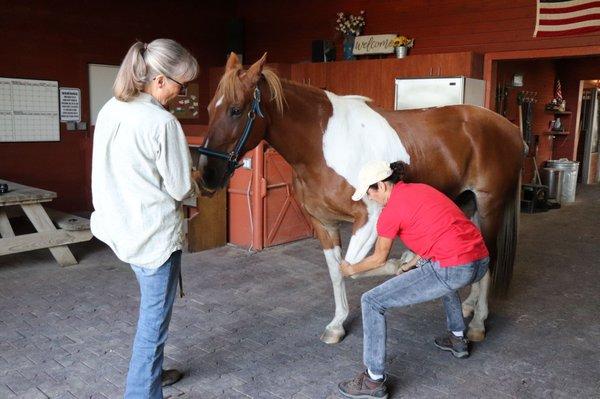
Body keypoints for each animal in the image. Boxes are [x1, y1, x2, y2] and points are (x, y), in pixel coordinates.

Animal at [198, 53, 524, 346]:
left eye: (236, 110)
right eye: (210, 108)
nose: (207, 176)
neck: (320, 145)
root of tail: (511, 128)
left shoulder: (369, 218)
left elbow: (353, 265)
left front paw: (402, 263)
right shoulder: (323, 223)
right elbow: (337, 271)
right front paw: (337, 324)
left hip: (490, 206)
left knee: (490, 257)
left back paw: (478, 322)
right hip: (467, 204)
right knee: (478, 253)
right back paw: (468, 305)